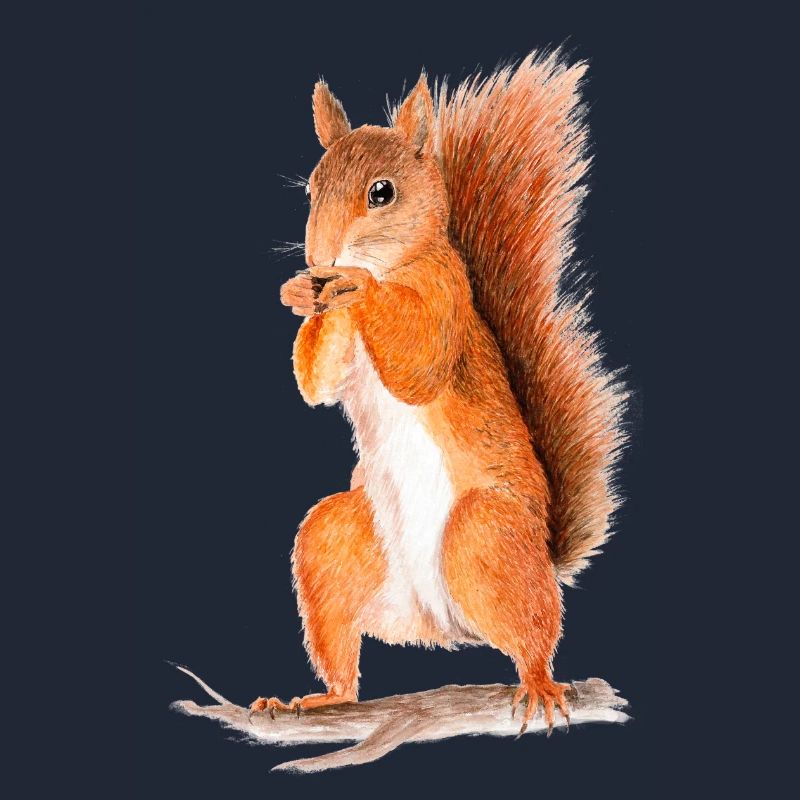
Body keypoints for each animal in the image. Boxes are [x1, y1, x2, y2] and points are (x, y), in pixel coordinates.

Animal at [251, 51, 626, 735]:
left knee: (535, 634)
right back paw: (321, 698)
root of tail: (440, 626)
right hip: (333, 545)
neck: (395, 262)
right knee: (342, 647)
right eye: (312, 188)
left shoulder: (447, 296)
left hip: (486, 536)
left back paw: (538, 682)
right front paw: (303, 295)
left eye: (382, 192)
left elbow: (418, 364)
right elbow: (318, 384)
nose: (321, 257)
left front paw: (354, 285)